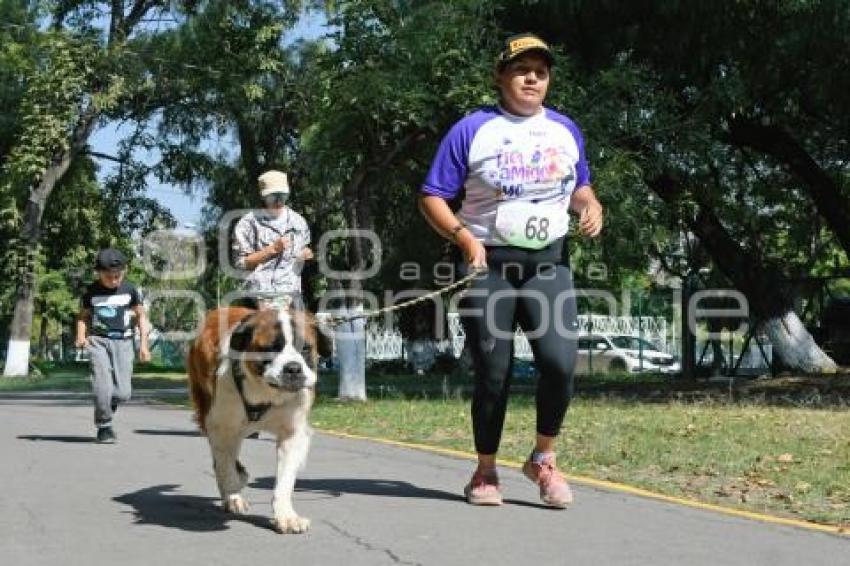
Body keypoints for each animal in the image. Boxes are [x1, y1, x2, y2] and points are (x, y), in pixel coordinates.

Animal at [187, 308, 322, 536]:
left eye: (305, 348)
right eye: (270, 349)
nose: (293, 368)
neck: (266, 392)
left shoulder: (292, 432)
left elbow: (285, 478)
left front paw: (286, 516)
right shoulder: (221, 426)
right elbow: (225, 465)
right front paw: (233, 492)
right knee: (223, 459)